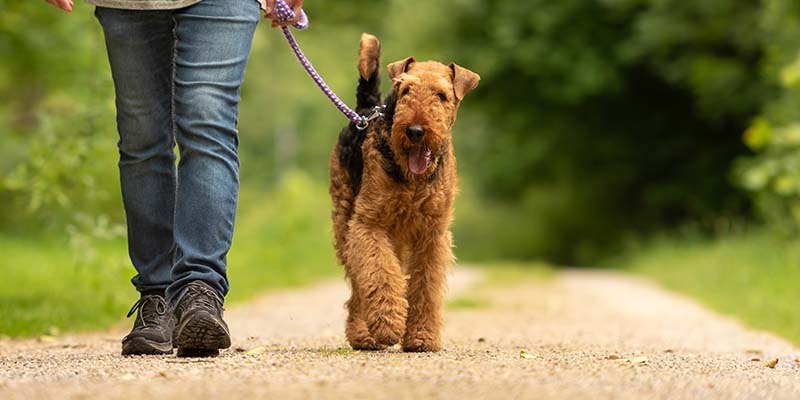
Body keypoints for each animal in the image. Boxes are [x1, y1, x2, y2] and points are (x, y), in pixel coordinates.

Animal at [328, 35, 478, 354]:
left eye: (441, 95)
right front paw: (388, 325)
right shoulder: (369, 224)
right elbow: (380, 275)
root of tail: (366, 109)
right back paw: (363, 334)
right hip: (346, 221)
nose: (415, 131)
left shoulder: (433, 234)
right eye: (406, 89)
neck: (413, 179)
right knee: (359, 283)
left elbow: (425, 287)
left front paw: (421, 337)